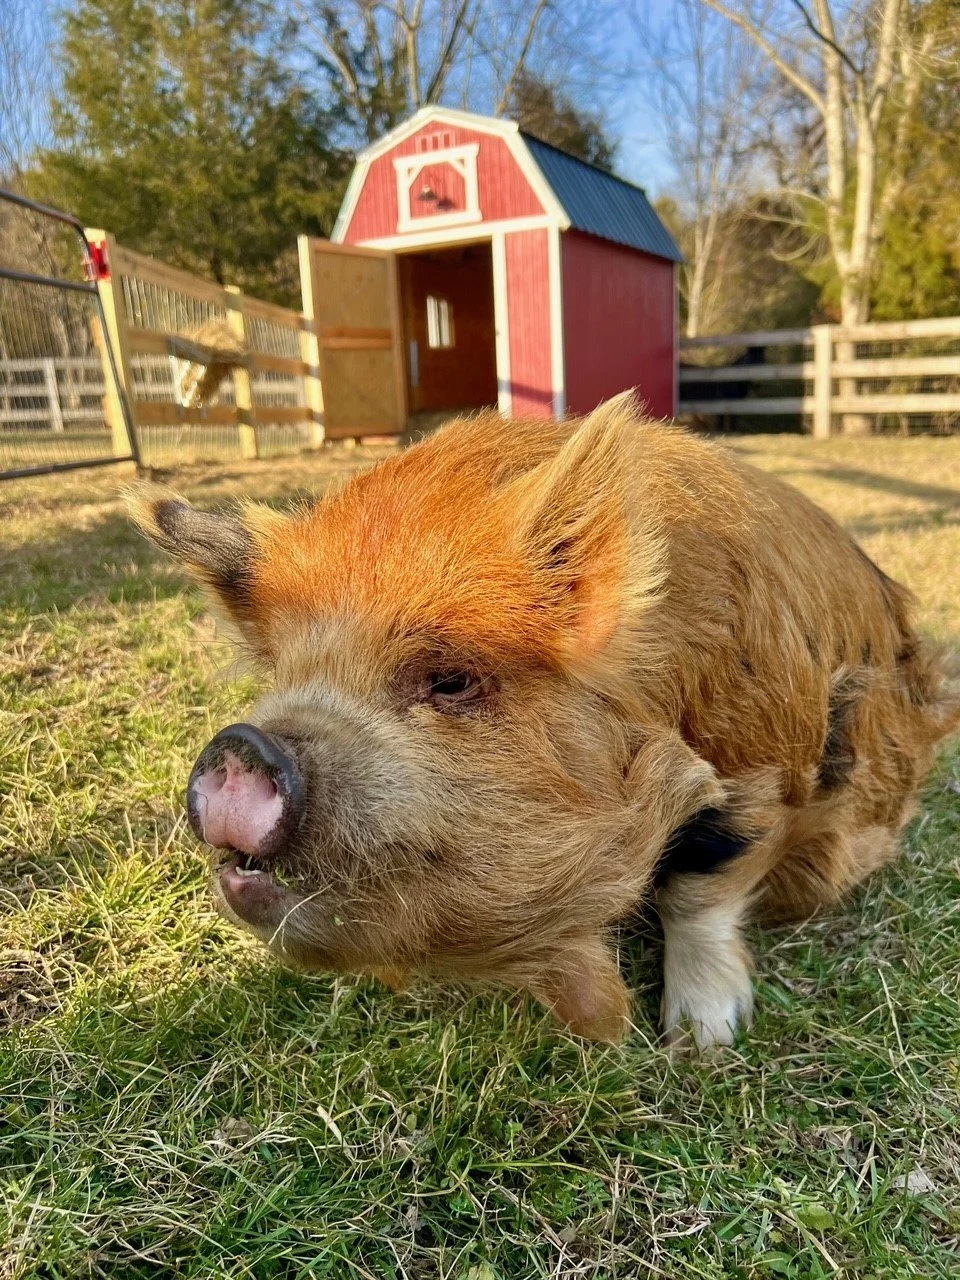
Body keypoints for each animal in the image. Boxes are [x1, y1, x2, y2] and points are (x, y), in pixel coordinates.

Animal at [131, 394, 959, 1048]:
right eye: (285, 673)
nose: (242, 744)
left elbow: (702, 887)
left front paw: (703, 1041)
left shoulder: (761, 761)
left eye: (451, 680)